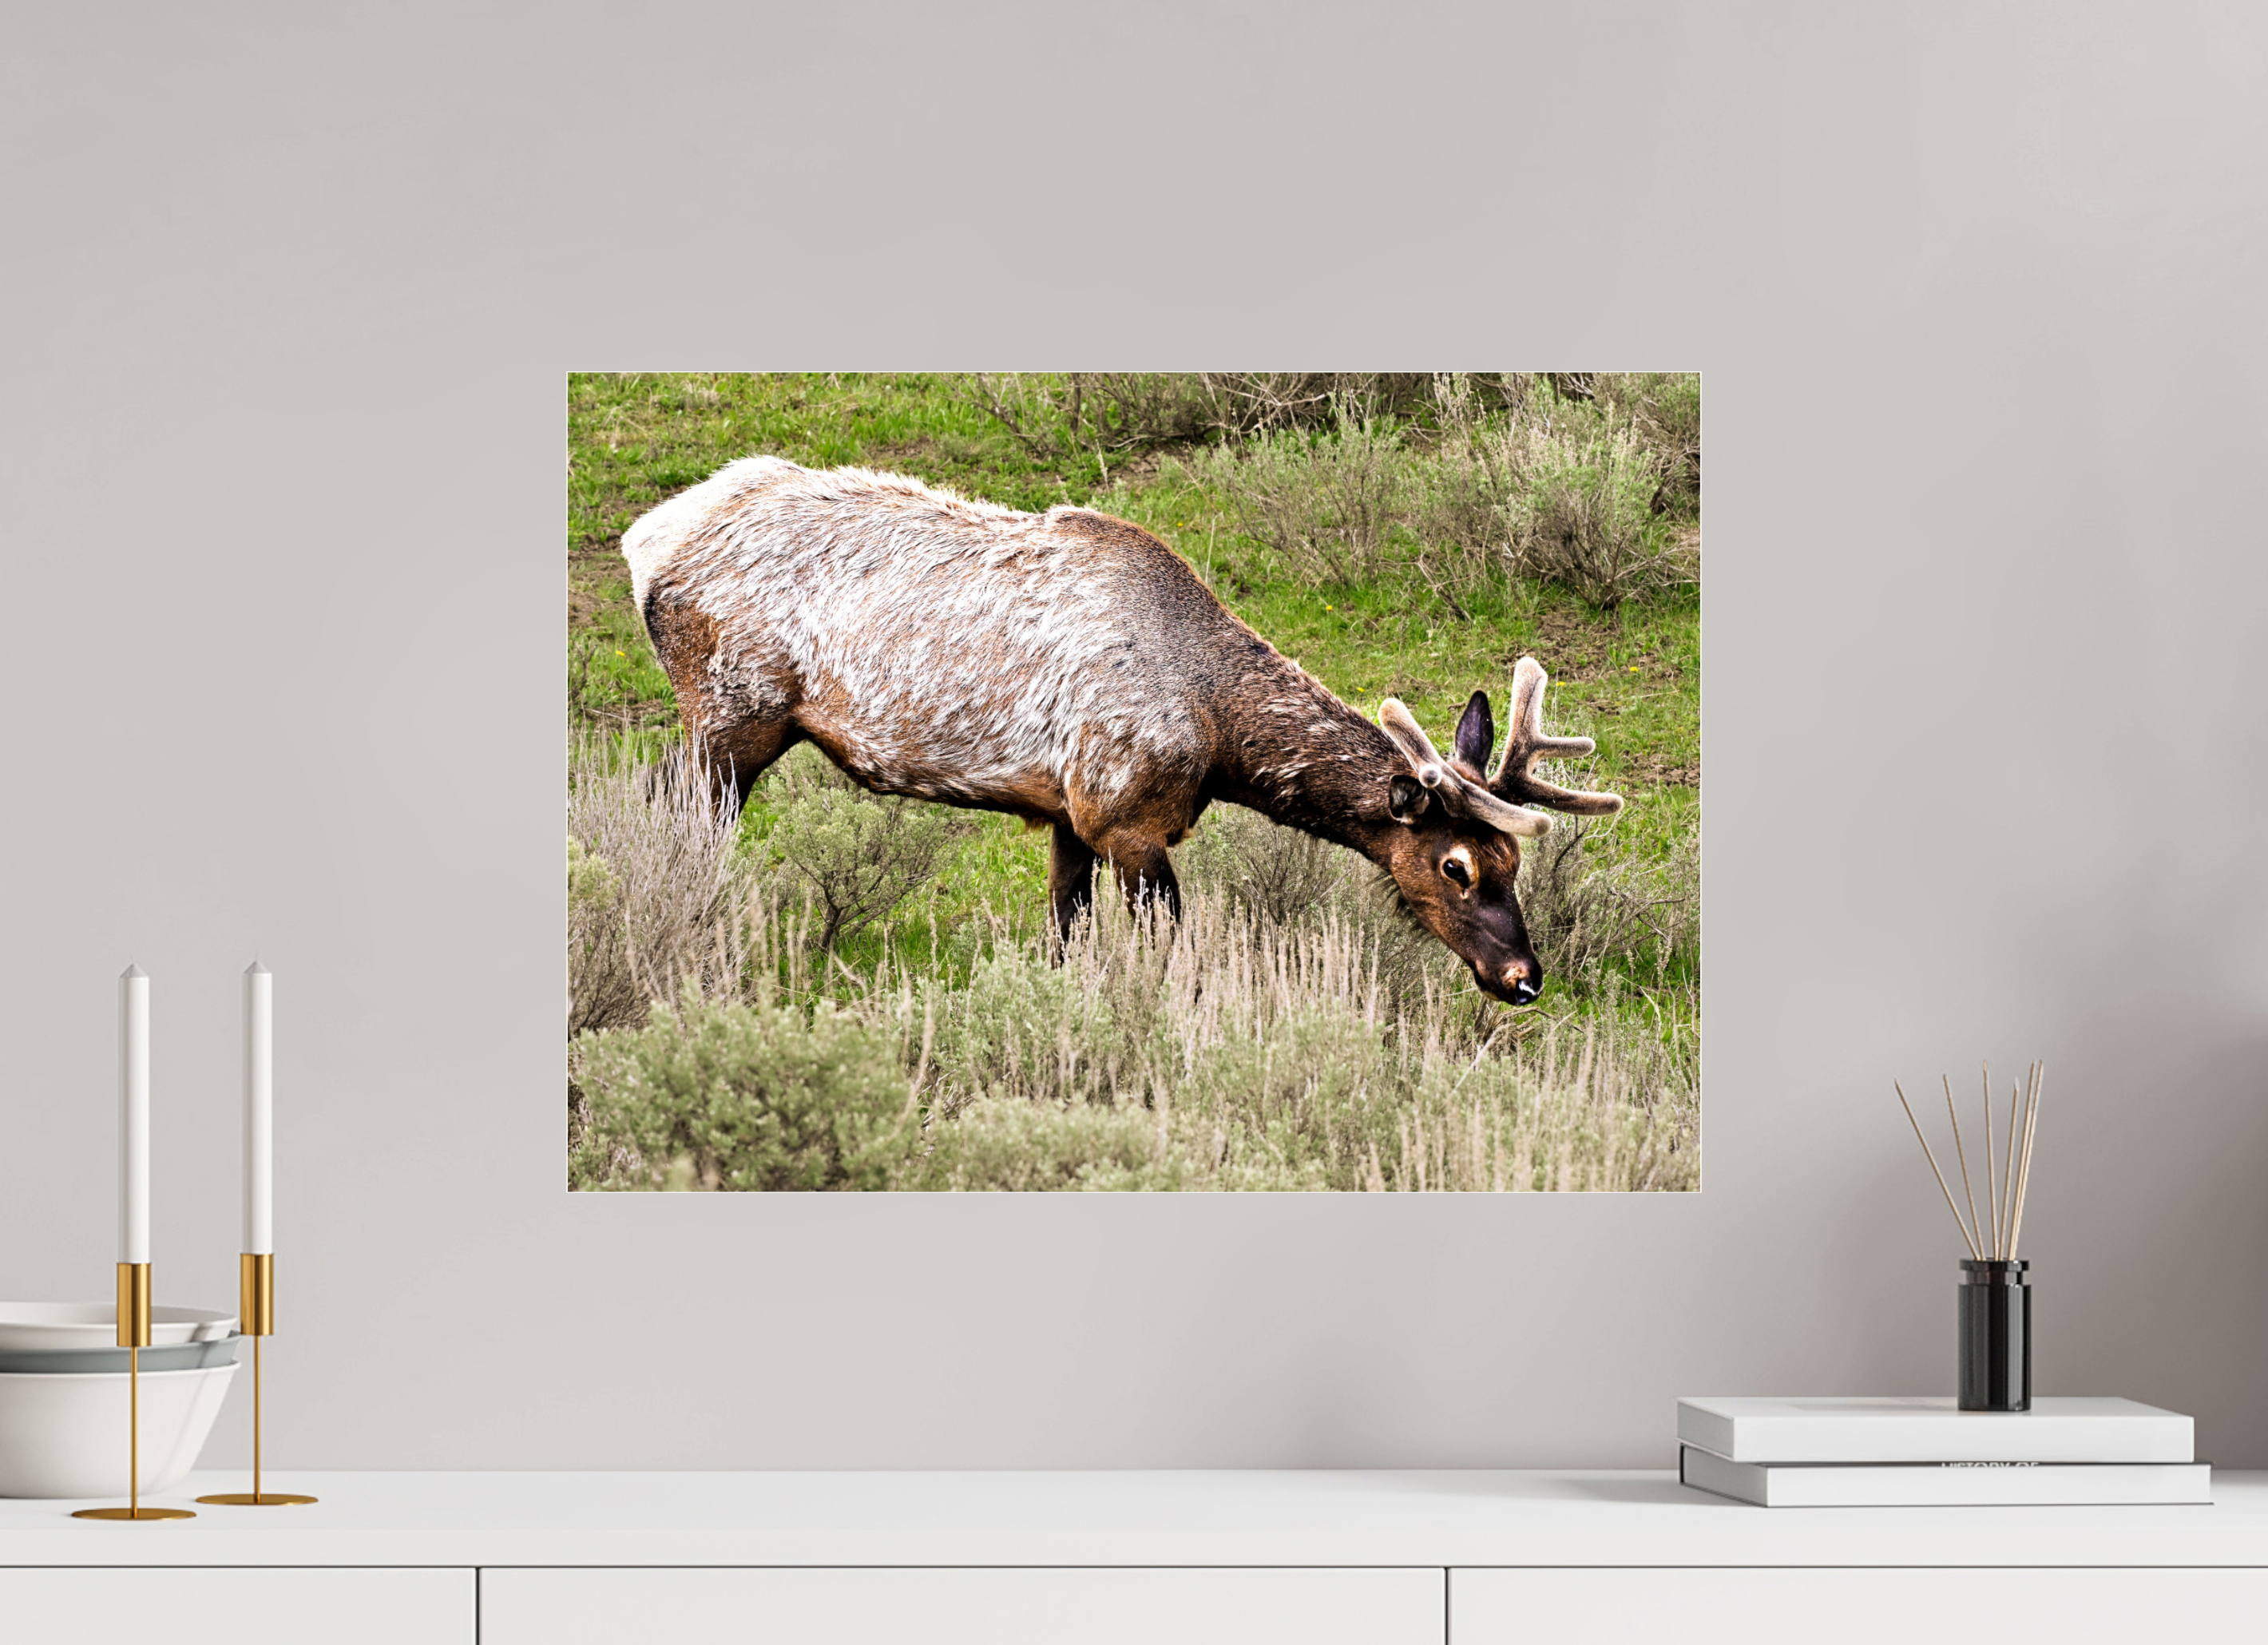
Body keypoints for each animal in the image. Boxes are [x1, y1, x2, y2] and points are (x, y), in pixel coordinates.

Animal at [621, 457, 1623, 1005]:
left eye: (1512, 860)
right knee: (678, 818)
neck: (1218, 740)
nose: (1523, 975)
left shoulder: (1071, 809)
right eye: (1453, 866)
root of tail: (646, 542)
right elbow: (1176, 953)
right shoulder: (1127, 814)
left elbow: (1065, 933)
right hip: (735, 709)